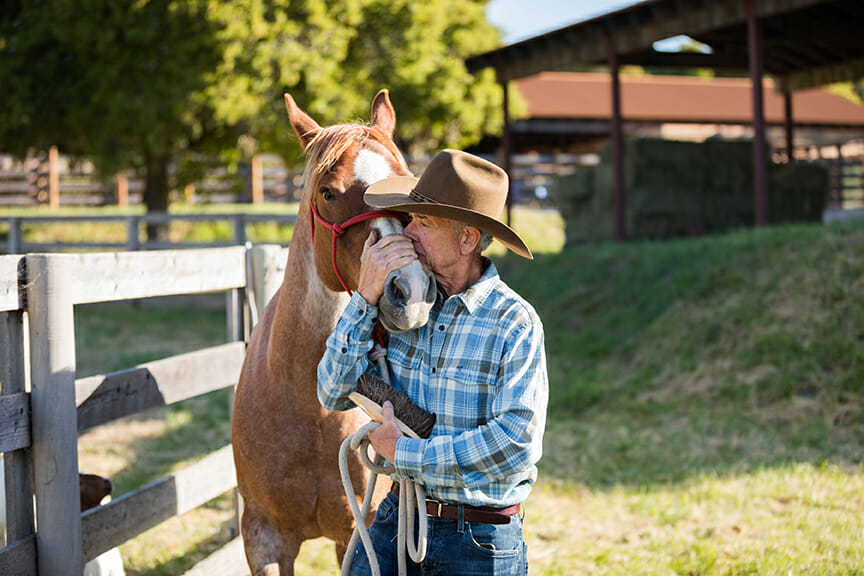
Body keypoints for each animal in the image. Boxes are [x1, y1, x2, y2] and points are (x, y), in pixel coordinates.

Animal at [232, 90, 436, 575]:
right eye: (328, 192)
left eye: (408, 187)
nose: (411, 291)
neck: (311, 409)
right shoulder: (264, 537)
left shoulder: (356, 534)